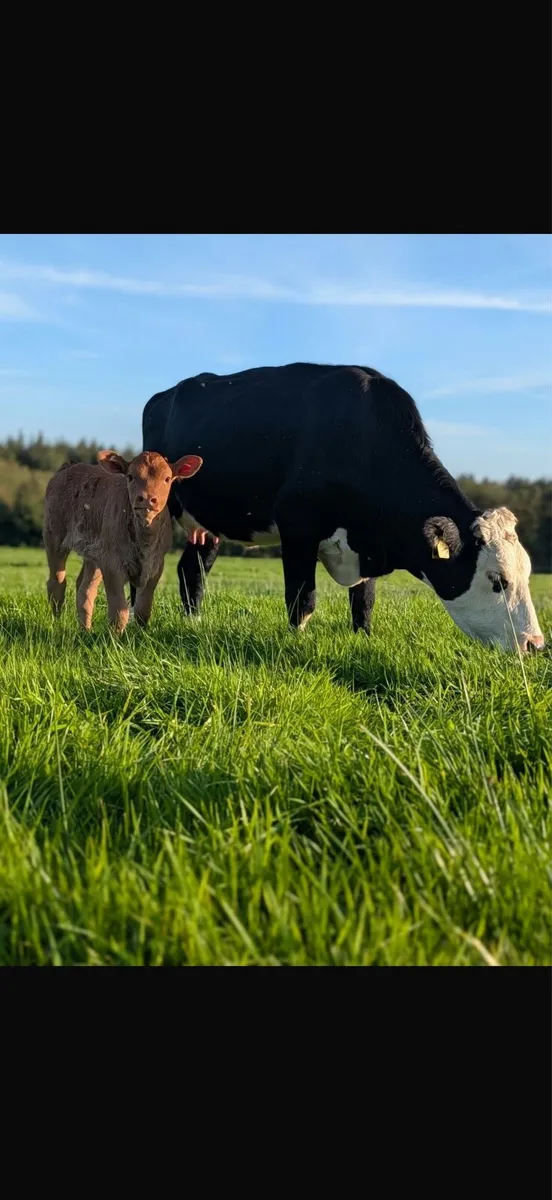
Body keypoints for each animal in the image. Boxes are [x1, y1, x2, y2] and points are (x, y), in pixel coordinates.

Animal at [44, 449, 202, 634]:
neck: (144, 541)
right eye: (130, 476)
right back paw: (58, 625)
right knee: (57, 583)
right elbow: (119, 611)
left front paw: (141, 635)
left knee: (84, 589)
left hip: (94, 554)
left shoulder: (155, 567)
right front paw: (115, 638)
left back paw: (85, 631)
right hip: (54, 537)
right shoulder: (112, 564)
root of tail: (70, 466)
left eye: (167, 478)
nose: (147, 498)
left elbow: (143, 609)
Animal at [133, 363, 544, 653]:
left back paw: (194, 623)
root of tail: (166, 393)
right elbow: (302, 598)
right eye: (497, 580)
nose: (535, 644)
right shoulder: (298, 526)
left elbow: (364, 601)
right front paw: (295, 645)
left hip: (208, 524)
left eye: (526, 574)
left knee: (193, 568)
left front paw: (363, 641)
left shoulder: (367, 540)